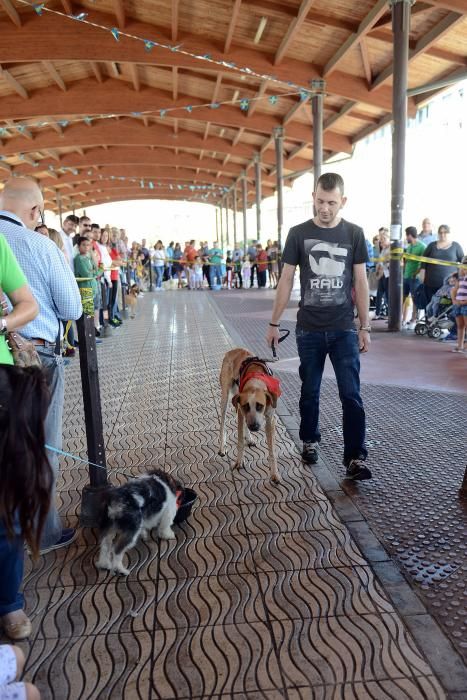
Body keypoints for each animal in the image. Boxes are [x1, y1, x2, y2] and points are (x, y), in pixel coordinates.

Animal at [219, 348, 282, 482]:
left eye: (260, 406)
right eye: (246, 406)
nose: (254, 427)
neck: (255, 382)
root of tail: (232, 350)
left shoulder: (270, 419)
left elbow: (272, 451)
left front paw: (274, 473)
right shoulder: (241, 411)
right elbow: (239, 441)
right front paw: (239, 462)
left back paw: (249, 438)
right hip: (225, 397)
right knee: (223, 424)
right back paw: (222, 447)